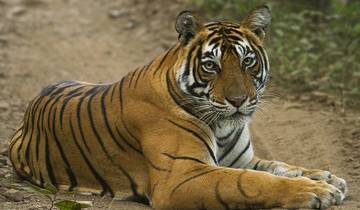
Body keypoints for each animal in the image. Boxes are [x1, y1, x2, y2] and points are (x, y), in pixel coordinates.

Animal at [8, 5, 346, 209]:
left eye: (247, 61)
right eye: (211, 66)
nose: (238, 101)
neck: (223, 127)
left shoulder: (243, 159)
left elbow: (279, 165)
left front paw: (325, 178)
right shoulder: (181, 175)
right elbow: (249, 181)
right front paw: (315, 191)